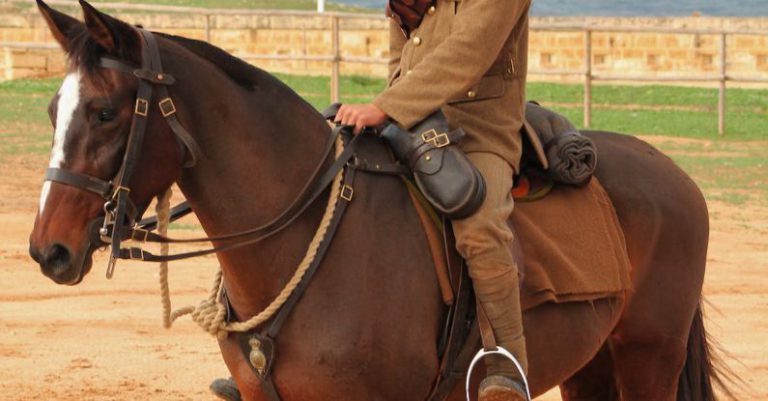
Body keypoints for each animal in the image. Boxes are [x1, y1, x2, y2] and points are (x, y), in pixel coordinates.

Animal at [27, 1, 728, 398]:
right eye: (53, 110)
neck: (306, 248)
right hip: (592, 365)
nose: (47, 251)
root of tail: (675, 174)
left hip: (648, 358)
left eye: (105, 111)